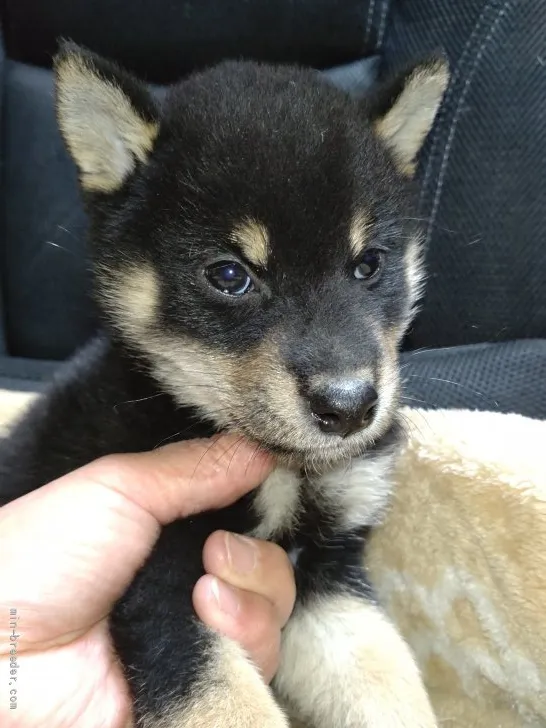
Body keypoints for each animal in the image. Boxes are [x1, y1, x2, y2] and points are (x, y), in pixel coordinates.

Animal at [1, 45, 446, 728]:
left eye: (369, 264)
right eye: (230, 275)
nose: (349, 407)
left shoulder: (326, 575)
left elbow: (385, 683)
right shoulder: (159, 581)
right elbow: (227, 700)